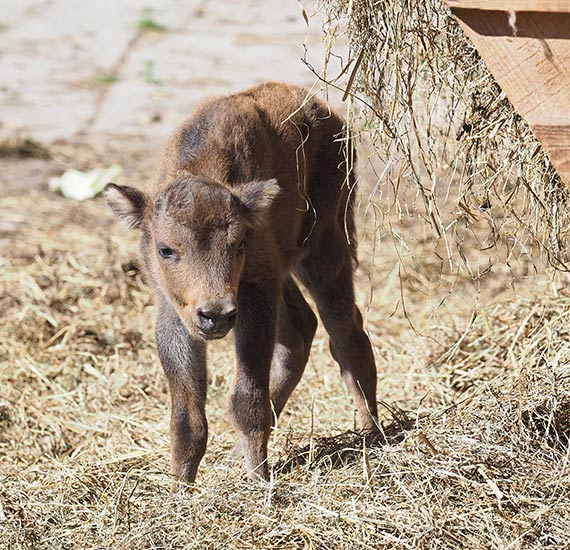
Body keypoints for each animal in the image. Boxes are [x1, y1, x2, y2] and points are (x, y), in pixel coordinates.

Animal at [105, 82, 378, 488]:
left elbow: (246, 397)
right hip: (287, 270)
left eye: (238, 245)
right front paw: (181, 487)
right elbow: (186, 415)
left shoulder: (255, 291)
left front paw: (258, 478)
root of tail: (327, 115)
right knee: (301, 330)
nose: (216, 315)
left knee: (346, 333)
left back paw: (372, 432)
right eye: (165, 249)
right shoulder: (174, 309)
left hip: (324, 250)